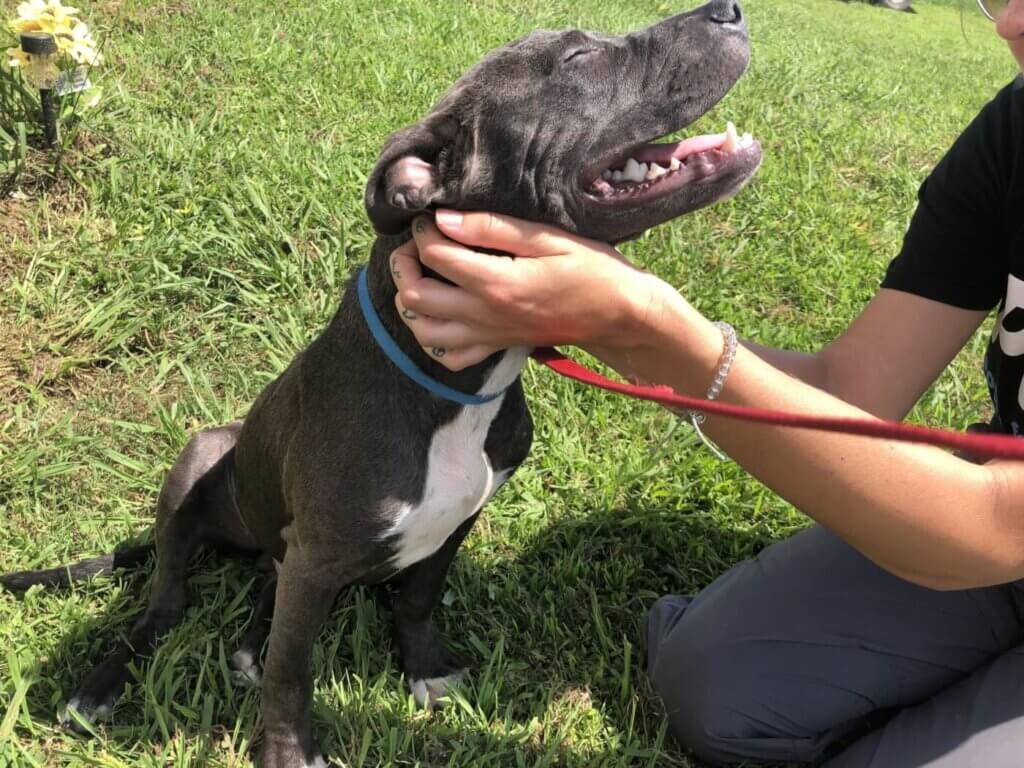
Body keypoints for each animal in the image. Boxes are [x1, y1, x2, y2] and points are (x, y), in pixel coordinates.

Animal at [2, 3, 761, 765]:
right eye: (576, 59)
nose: (729, 10)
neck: (454, 385)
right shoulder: (316, 561)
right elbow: (291, 673)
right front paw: (288, 752)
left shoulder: (454, 521)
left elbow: (417, 600)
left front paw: (424, 670)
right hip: (200, 457)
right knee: (166, 604)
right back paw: (100, 685)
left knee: (263, 585)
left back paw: (246, 643)